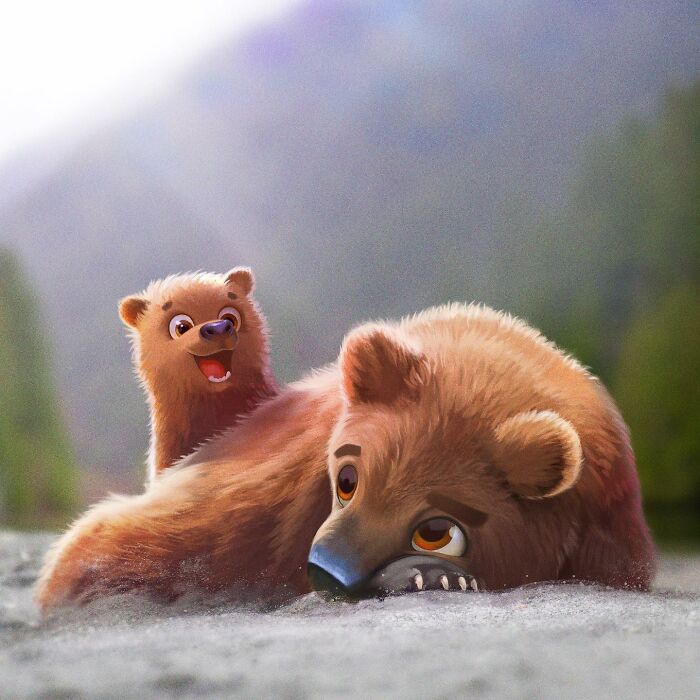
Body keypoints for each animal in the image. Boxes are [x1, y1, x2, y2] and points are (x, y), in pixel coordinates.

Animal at [35, 303, 655, 609]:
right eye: (348, 478)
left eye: (438, 529)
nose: (326, 571)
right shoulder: (266, 494)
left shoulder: (609, 531)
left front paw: (433, 575)